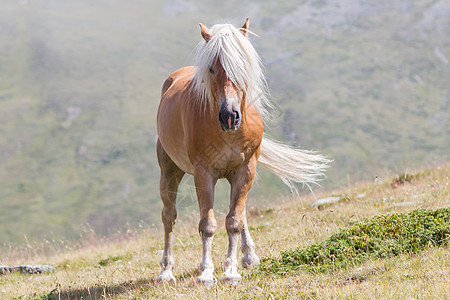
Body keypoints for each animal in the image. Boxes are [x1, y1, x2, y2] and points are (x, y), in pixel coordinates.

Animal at [156, 18, 328, 286]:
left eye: (243, 66)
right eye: (212, 69)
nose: (229, 116)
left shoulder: (245, 169)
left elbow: (235, 220)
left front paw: (231, 270)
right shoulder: (203, 174)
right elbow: (208, 224)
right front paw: (206, 273)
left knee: (239, 212)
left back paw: (249, 256)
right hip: (169, 171)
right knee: (169, 216)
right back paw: (166, 271)